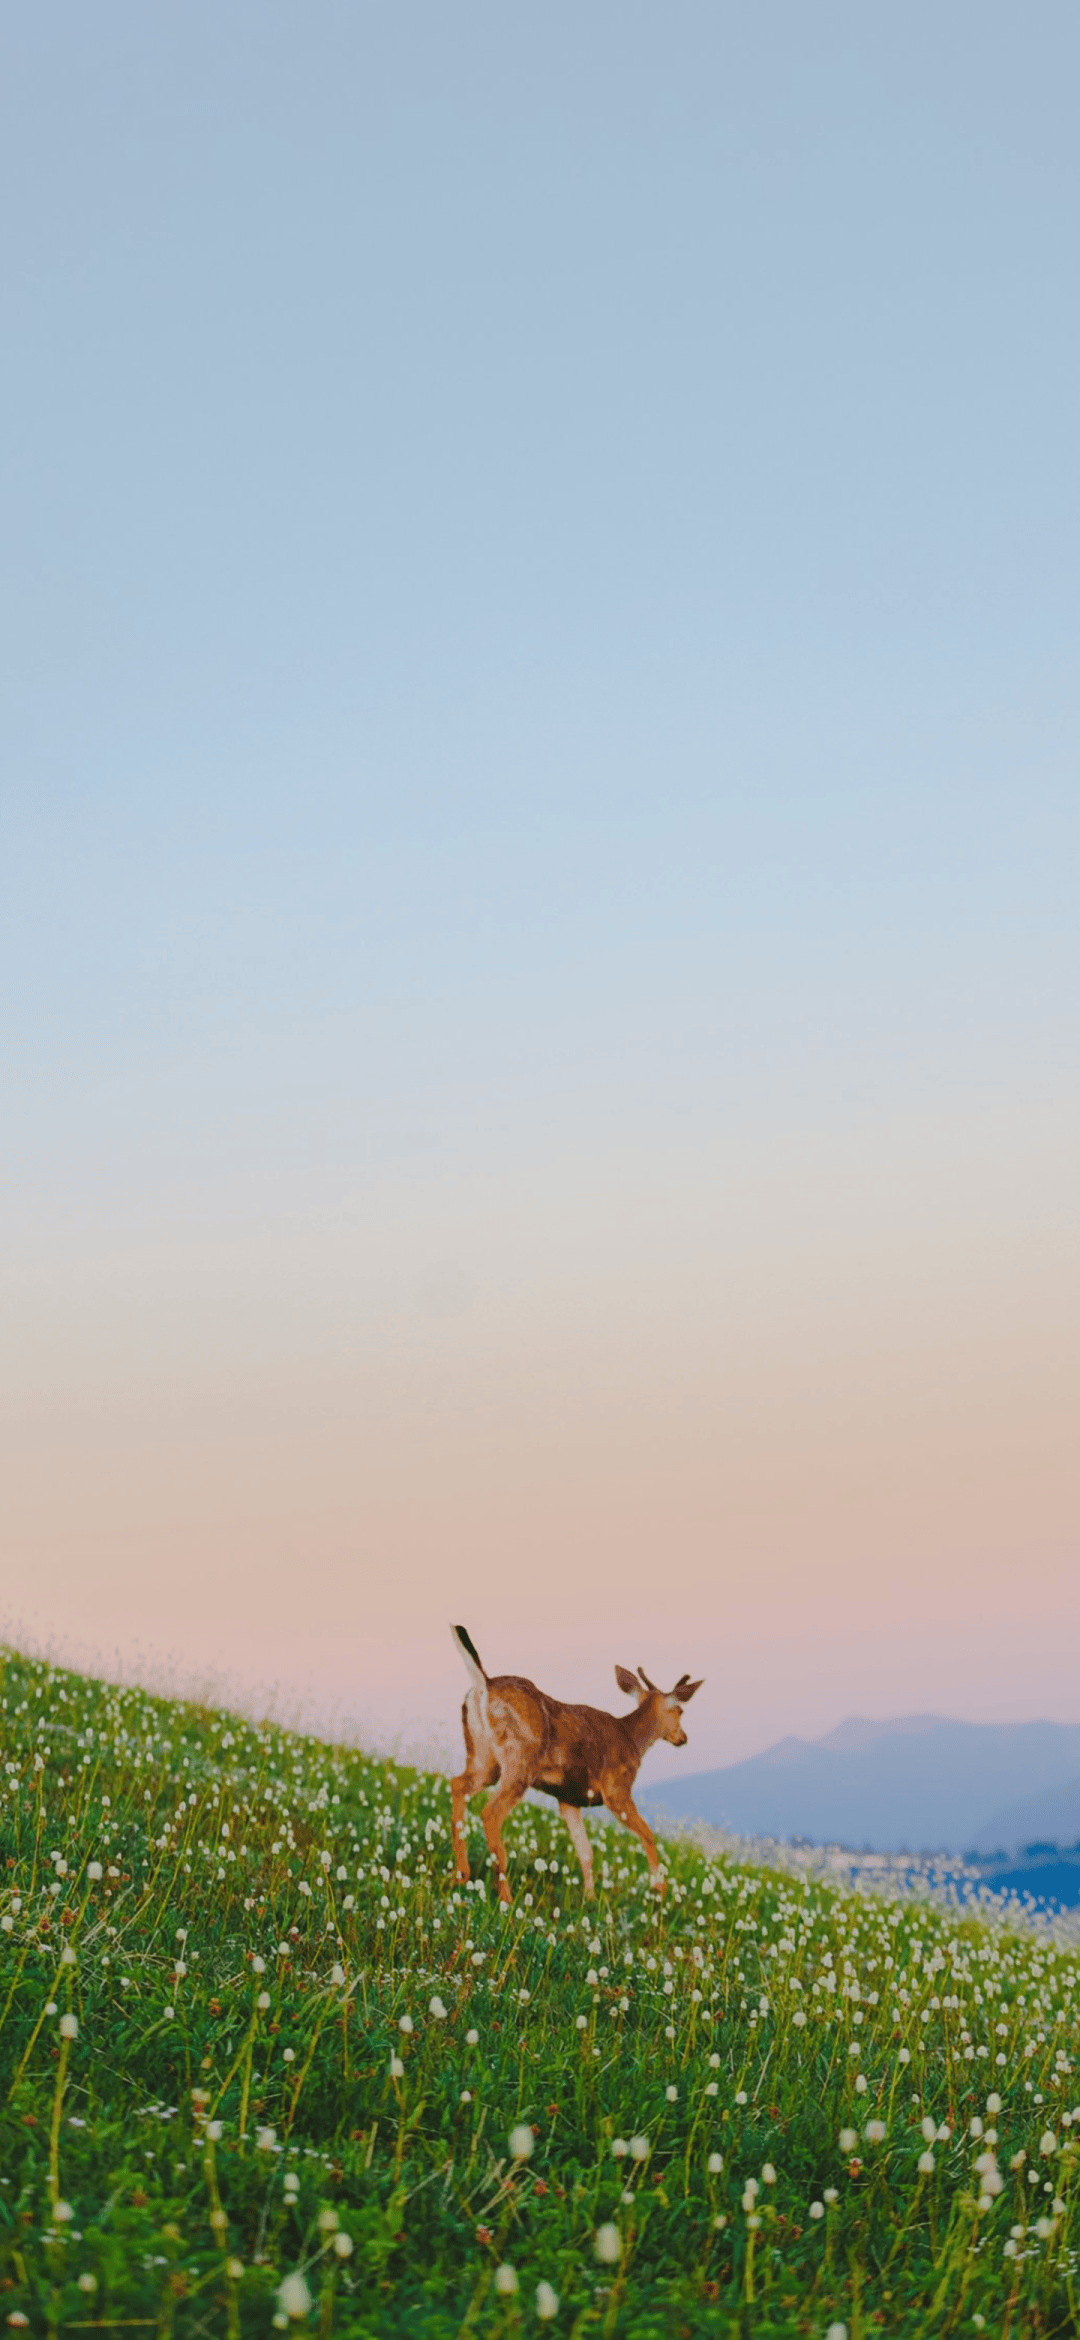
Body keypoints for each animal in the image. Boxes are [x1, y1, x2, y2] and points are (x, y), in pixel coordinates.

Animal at [444, 1628, 705, 1900]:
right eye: (680, 1711)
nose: (683, 1738)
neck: (632, 1738)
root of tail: (484, 1684)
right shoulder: (617, 1789)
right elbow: (648, 1834)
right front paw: (660, 1893)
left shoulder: (568, 1798)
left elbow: (585, 1851)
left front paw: (589, 1898)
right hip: (520, 1760)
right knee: (490, 1813)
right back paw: (506, 1896)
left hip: (484, 1759)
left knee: (457, 1785)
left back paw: (460, 1876)